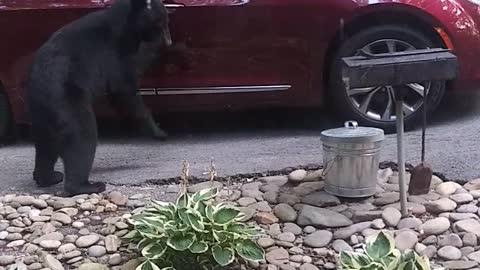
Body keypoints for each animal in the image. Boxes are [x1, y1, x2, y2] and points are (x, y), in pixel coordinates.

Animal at [26, 0, 172, 195]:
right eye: (162, 22)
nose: (169, 41)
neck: (125, 24)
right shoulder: (115, 54)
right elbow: (124, 91)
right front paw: (159, 131)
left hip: (40, 115)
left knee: (45, 147)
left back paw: (48, 177)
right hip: (67, 101)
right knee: (82, 138)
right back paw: (87, 185)